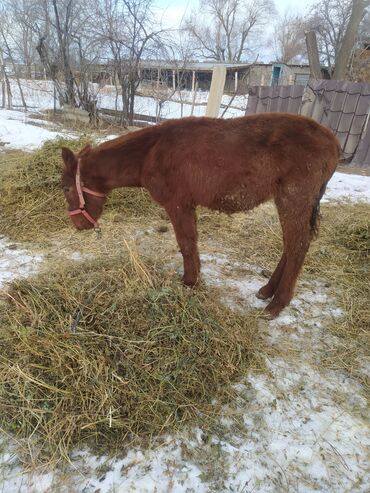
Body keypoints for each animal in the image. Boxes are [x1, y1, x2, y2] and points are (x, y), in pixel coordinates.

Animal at [61, 113, 342, 318]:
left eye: (65, 188)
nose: (78, 224)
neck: (150, 153)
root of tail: (331, 140)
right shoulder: (187, 205)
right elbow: (192, 242)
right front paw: (196, 278)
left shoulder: (177, 204)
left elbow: (186, 243)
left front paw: (189, 281)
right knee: (291, 243)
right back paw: (267, 290)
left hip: (293, 198)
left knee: (298, 244)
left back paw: (276, 305)